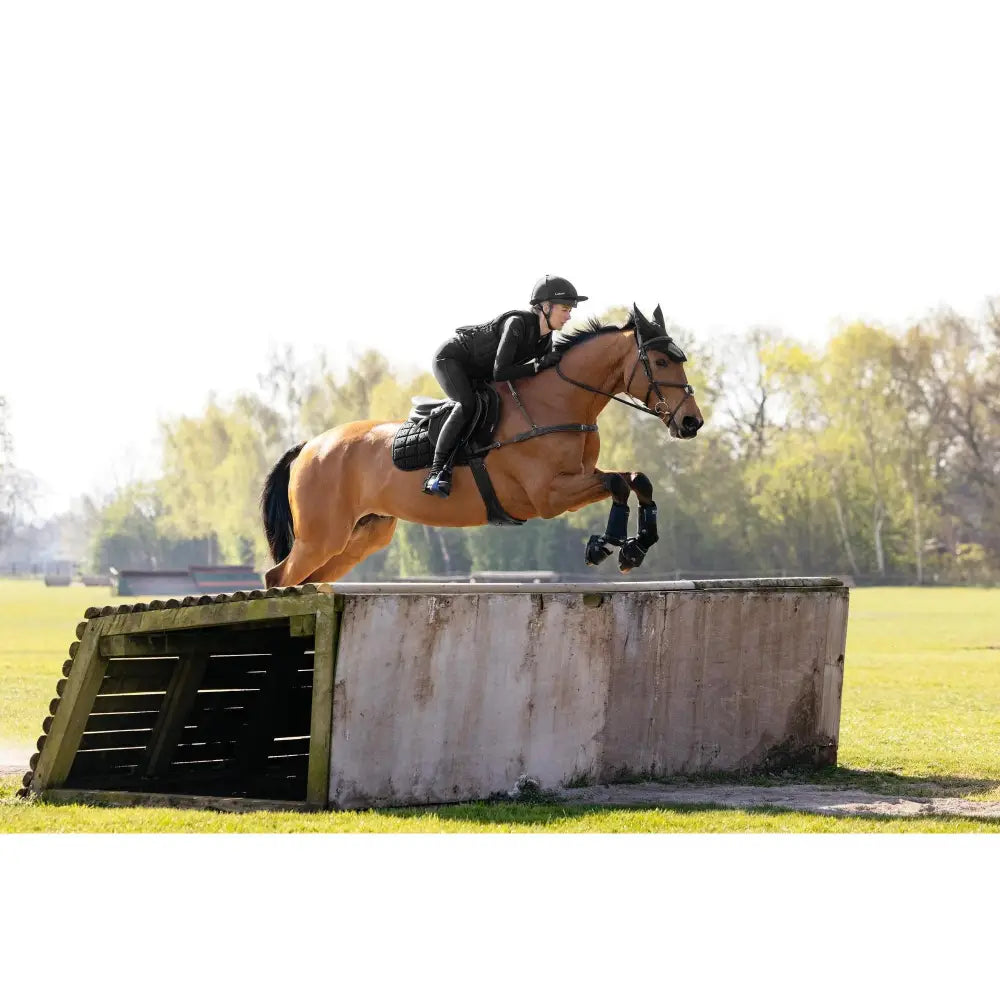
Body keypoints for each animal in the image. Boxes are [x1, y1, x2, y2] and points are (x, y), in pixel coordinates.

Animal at [260, 304, 704, 585]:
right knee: (278, 576)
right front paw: (606, 544)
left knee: (305, 579)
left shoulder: (577, 478)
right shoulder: (549, 495)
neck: (557, 402)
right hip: (322, 536)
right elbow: (616, 483)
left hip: (361, 536)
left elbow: (635, 478)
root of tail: (309, 447)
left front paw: (635, 547)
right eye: (661, 362)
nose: (691, 422)